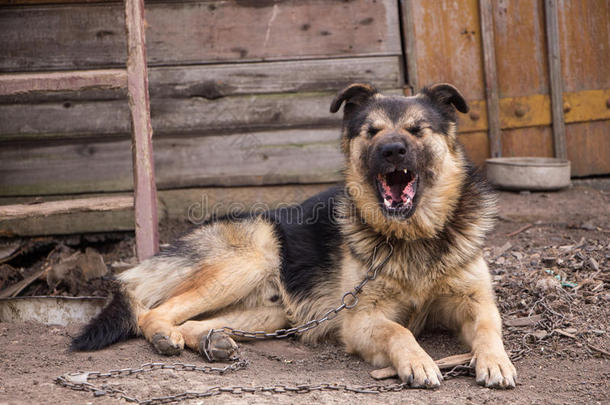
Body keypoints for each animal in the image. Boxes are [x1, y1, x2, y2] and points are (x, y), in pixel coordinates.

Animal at [73, 82, 516, 388]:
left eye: (416, 130)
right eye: (372, 132)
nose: (392, 150)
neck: (413, 235)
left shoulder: (476, 301)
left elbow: (488, 327)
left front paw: (495, 361)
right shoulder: (360, 319)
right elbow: (399, 329)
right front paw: (418, 361)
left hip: (271, 312)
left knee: (195, 320)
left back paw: (211, 341)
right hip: (248, 261)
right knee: (152, 313)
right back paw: (166, 335)